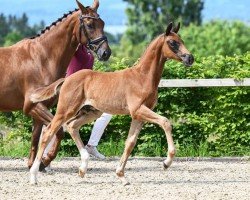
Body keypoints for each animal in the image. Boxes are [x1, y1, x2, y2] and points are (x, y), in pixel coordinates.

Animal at [0, 0, 110, 170]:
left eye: (103, 23)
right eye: (90, 25)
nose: (106, 53)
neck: (42, 59)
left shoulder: (40, 108)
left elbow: (36, 138)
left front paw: (34, 164)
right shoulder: (33, 106)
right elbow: (59, 131)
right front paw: (45, 161)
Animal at [29, 22, 193, 185]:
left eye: (182, 40)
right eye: (172, 43)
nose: (190, 58)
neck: (142, 77)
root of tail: (67, 79)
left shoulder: (138, 116)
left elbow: (130, 143)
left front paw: (121, 175)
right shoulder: (138, 110)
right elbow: (165, 122)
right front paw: (166, 162)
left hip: (91, 112)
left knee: (72, 126)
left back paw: (82, 168)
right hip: (66, 110)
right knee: (48, 132)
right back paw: (34, 175)